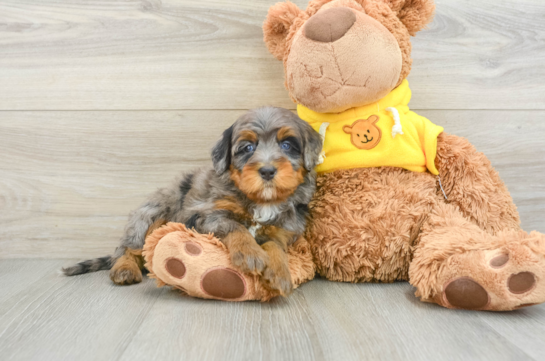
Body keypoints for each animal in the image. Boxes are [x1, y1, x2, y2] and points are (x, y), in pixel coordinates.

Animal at [62, 107, 324, 296]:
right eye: (247, 147)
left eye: (288, 145)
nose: (268, 171)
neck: (262, 201)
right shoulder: (205, 215)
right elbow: (235, 226)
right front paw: (250, 253)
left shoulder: (284, 229)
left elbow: (275, 246)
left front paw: (279, 273)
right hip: (151, 212)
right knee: (129, 248)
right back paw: (124, 269)